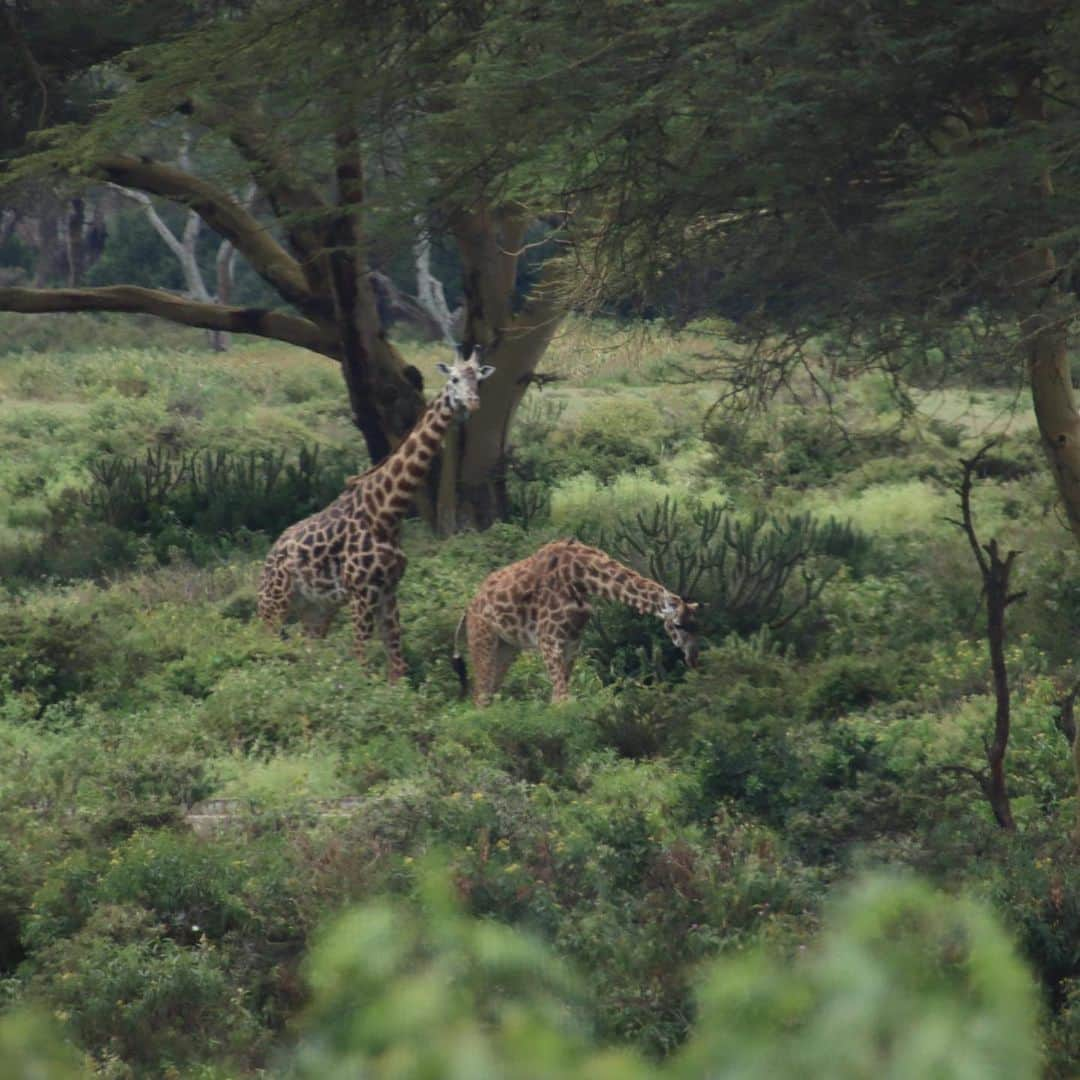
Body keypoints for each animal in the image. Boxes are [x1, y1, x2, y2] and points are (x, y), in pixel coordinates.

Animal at [259, 349, 494, 678]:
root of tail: (268, 558)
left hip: (316, 608)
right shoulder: (362, 592)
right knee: (266, 647)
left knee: (310, 651)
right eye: (454, 379)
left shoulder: (388, 590)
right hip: (274, 603)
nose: (472, 402)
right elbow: (361, 660)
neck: (386, 512)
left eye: (479, 380)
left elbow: (398, 666)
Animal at [453, 535, 699, 704]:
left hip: (506, 647)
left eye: (698, 626)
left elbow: (559, 698)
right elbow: (562, 700)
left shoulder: (572, 643)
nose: (693, 659)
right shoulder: (548, 641)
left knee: (490, 693)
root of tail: (467, 610)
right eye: (678, 625)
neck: (583, 578)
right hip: (482, 639)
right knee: (480, 696)